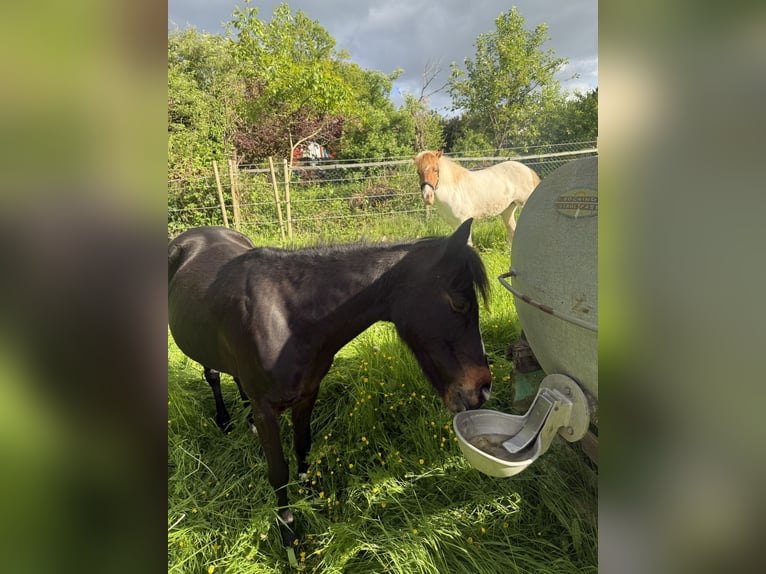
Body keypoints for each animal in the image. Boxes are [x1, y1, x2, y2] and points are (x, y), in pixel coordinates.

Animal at [167, 219, 492, 556]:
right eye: (460, 303)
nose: (482, 388)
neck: (287, 319)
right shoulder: (267, 409)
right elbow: (278, 471)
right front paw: (288, 533)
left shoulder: (307, 394)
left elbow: (303, 447)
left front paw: (311, 496)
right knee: (213, 374)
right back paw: (224, 420)